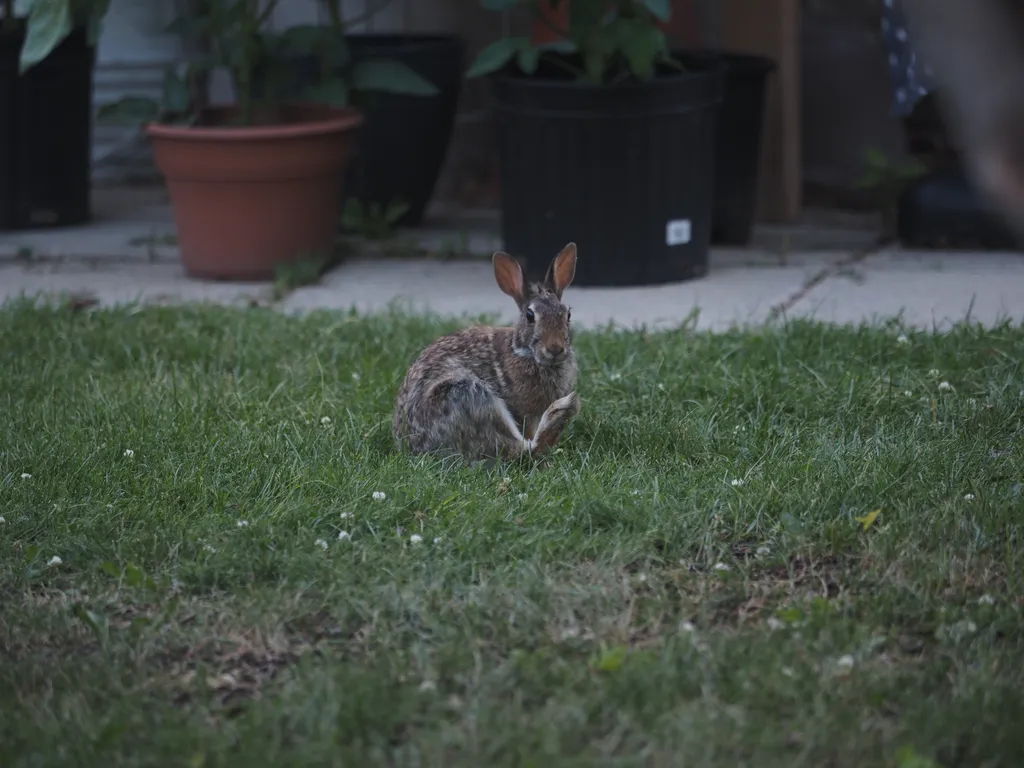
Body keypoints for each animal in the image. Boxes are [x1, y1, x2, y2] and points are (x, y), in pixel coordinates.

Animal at [391, 243, 581, 460]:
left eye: (567, 314)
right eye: (530, 316)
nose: (555, 348)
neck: (523, 351)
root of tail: (414, 446)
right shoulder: (524, 413)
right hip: (465, 394)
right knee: (521, 448)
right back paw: (563, 410)